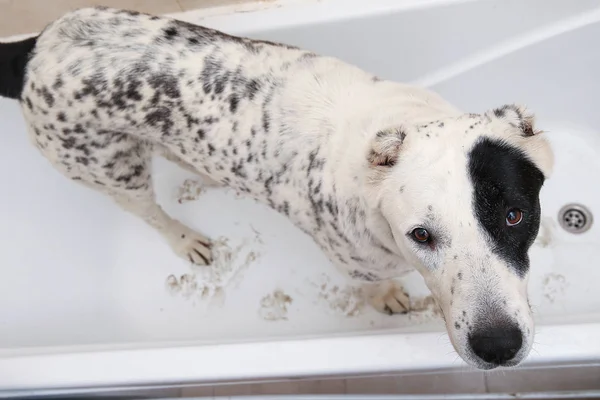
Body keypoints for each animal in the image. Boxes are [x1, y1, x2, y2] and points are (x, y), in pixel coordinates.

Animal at [0, 7, 552, 368]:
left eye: (514, 216)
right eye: (421, 235)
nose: (497, 347)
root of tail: (32, 50)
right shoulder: (357, 262)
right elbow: (376, 286)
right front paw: (390, 297)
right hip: (109, 168)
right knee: (147, 210)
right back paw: (185, 239)